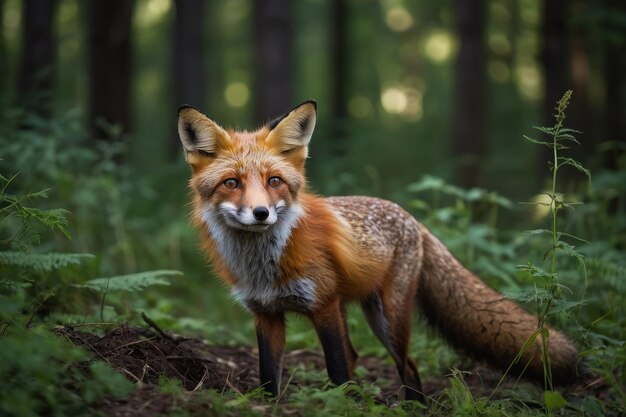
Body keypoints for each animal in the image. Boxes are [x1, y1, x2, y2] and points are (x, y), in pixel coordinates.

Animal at [174, 100, 576, 400]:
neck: (264, 265)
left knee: (407, 367)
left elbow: (336, 370)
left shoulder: (323, 307)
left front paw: (341, 406)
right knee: (360, 357)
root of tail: (412, 217)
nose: (261, 213)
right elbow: (268, 377)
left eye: (274, 181)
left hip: (388, 317)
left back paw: (413, 406)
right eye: (231, 183)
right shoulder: (265, 314)